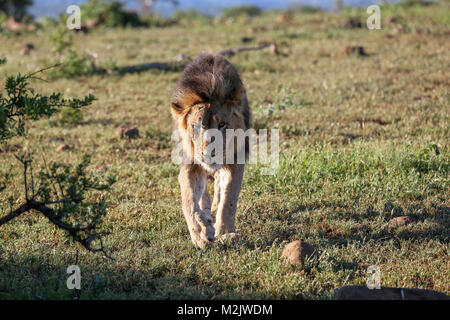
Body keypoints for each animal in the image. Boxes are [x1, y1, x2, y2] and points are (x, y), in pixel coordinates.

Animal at [171, 52, 251, 249]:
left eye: (222, 124)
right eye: (197, 126)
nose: (208, 153)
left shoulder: (236, 160)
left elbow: (229, 199)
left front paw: (226, 232)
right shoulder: (190, 162)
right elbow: (188, 199)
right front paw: (200, 233)